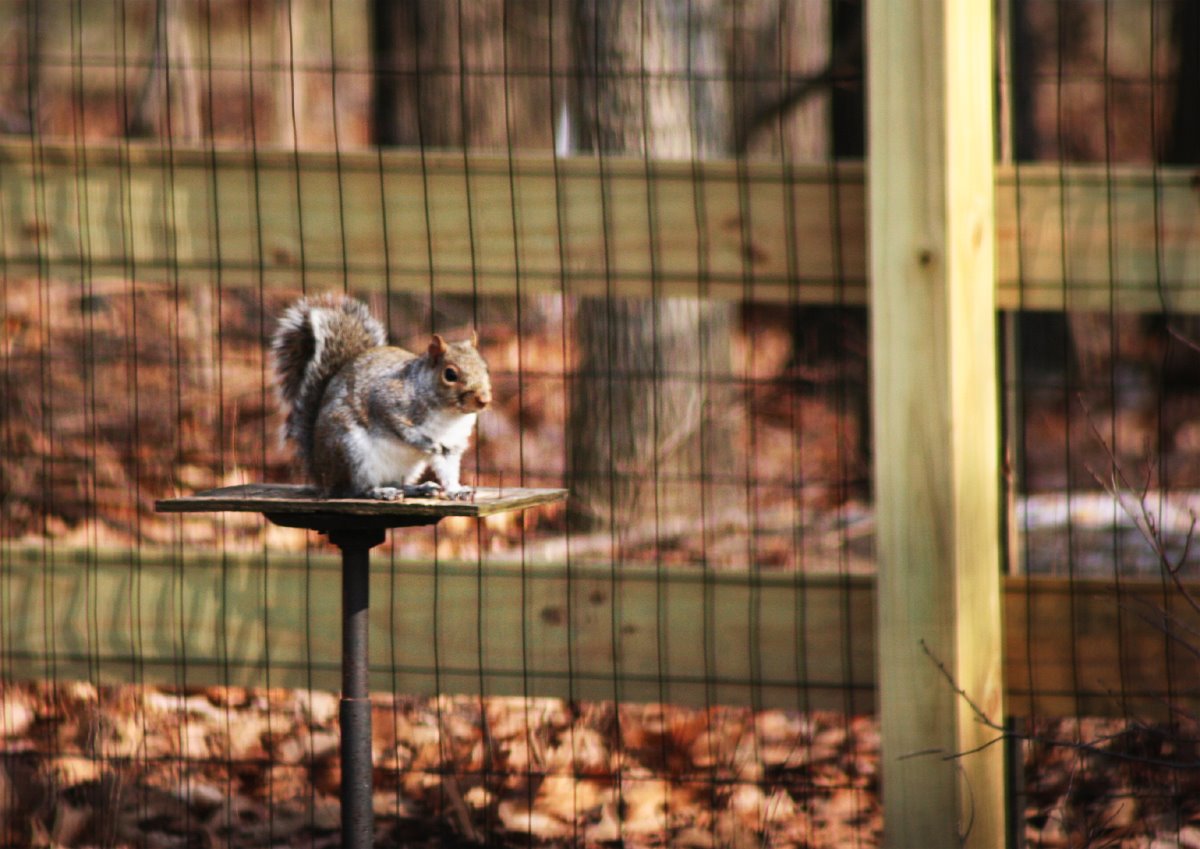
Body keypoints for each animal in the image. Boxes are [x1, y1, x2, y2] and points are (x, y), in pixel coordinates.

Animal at [271, 293, 492, 500]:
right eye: (450, 375)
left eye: (485, 368)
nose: (483, 400)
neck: (450, 415)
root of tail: (321, 474)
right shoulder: (387, 402)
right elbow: (400, 427)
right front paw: (426, 443)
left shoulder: (452, 446)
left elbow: (447, 470)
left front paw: (456, 490)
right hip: (352, 452)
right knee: (354, 490)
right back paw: (379, 491)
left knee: (394, 482)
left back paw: (417, 488)